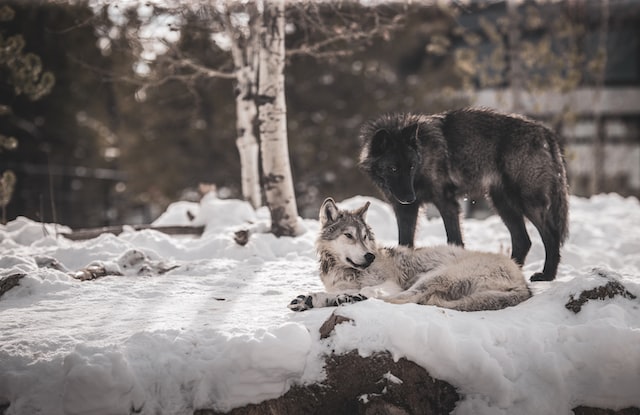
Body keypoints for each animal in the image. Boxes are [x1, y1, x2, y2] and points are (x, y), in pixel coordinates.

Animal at [290, 198, 528, 312]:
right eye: (349, 235)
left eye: (365, 236)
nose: (370, 256)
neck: (344, 271)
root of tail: (524, 283)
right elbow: (340, 291)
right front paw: (316, 299)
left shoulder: (391, 284)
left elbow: (371, 290)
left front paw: (351, 296)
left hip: (433, 276)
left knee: (406, 299)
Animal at [360, 107, 568, 282]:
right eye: (393, 168)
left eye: (411, 167)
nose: (409, 198)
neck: (424, 154)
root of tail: (545, 131)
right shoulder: (405, 210)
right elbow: (405, 243)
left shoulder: (446, 203)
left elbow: (454, 239)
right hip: (502, 203)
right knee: (523, 240)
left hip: (526, 201)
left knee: (551, 235)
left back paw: (547, 275)